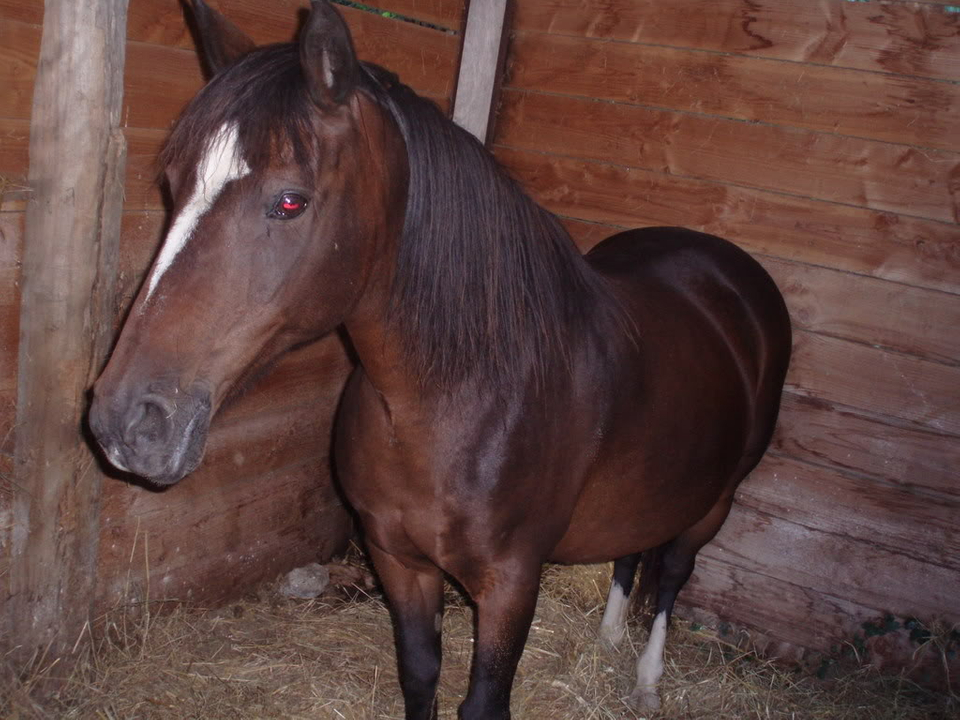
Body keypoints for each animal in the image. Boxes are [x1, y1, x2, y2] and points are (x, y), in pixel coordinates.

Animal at [90, 2, 792, 716]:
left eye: (289, 200)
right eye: (172, 186)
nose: (126, 423)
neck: (451, 402)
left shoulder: (511, 583)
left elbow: (484, 699)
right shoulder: (398, 559)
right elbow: (420, 670)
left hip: (717, 499)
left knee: (673, 572)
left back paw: (647, 681)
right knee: (631, 554)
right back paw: (608, 639)